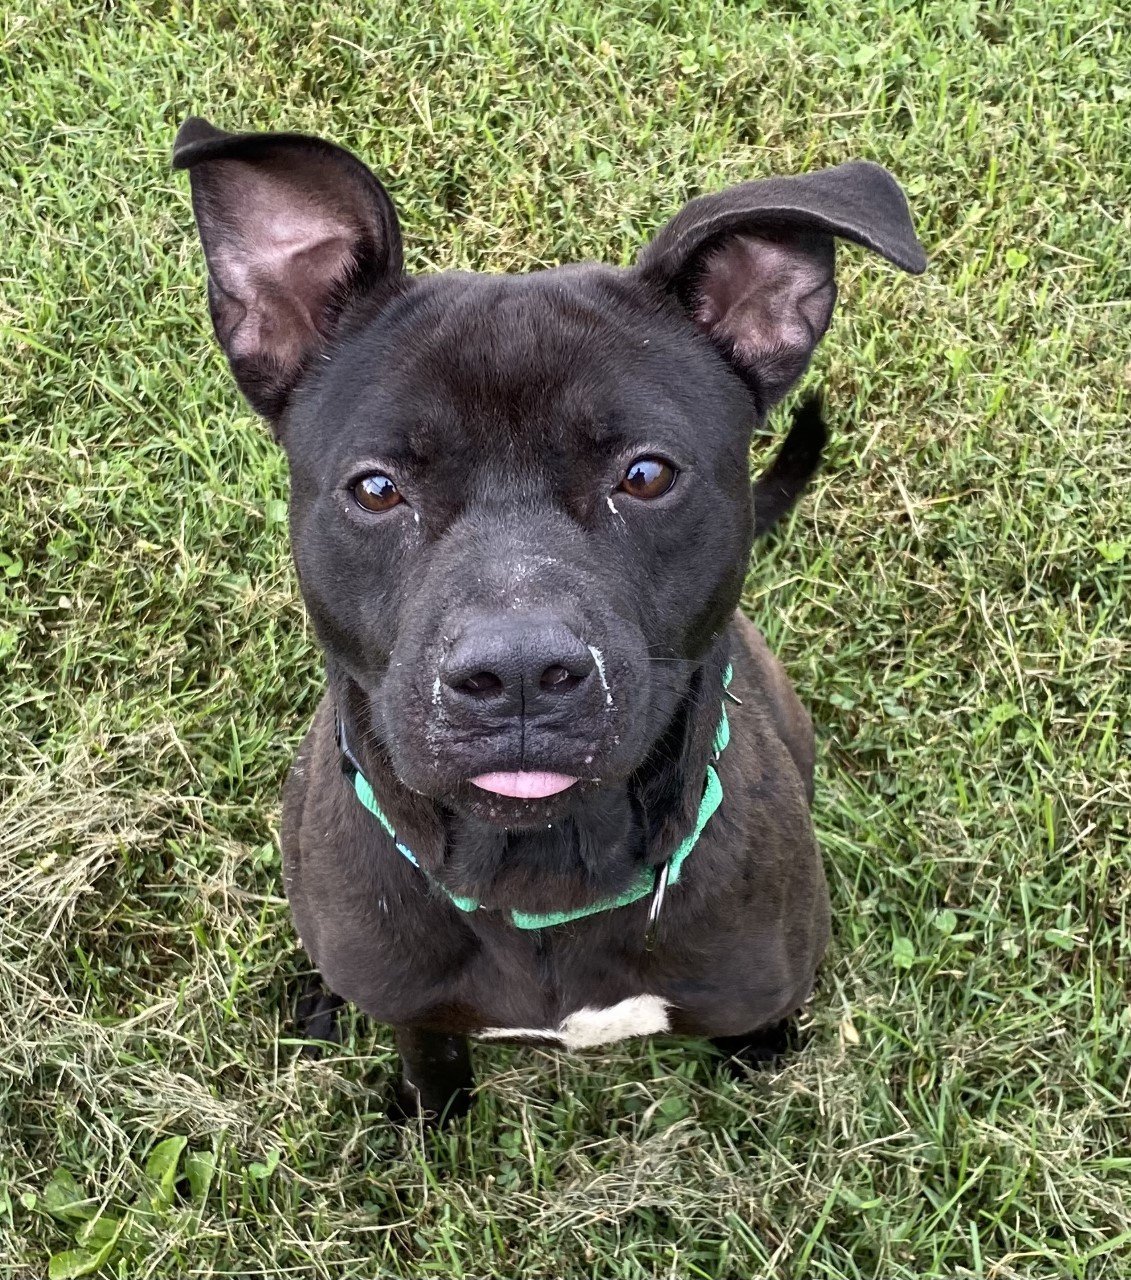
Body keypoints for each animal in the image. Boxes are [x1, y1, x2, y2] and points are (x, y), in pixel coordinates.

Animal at [172, 120, 921, 1121]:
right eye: (376, 489)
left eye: (645, 475)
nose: (518, 675)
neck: (537, 873)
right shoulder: (414, 1003)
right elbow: (428, 1053)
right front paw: (433, 1114)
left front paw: (760, 1051)